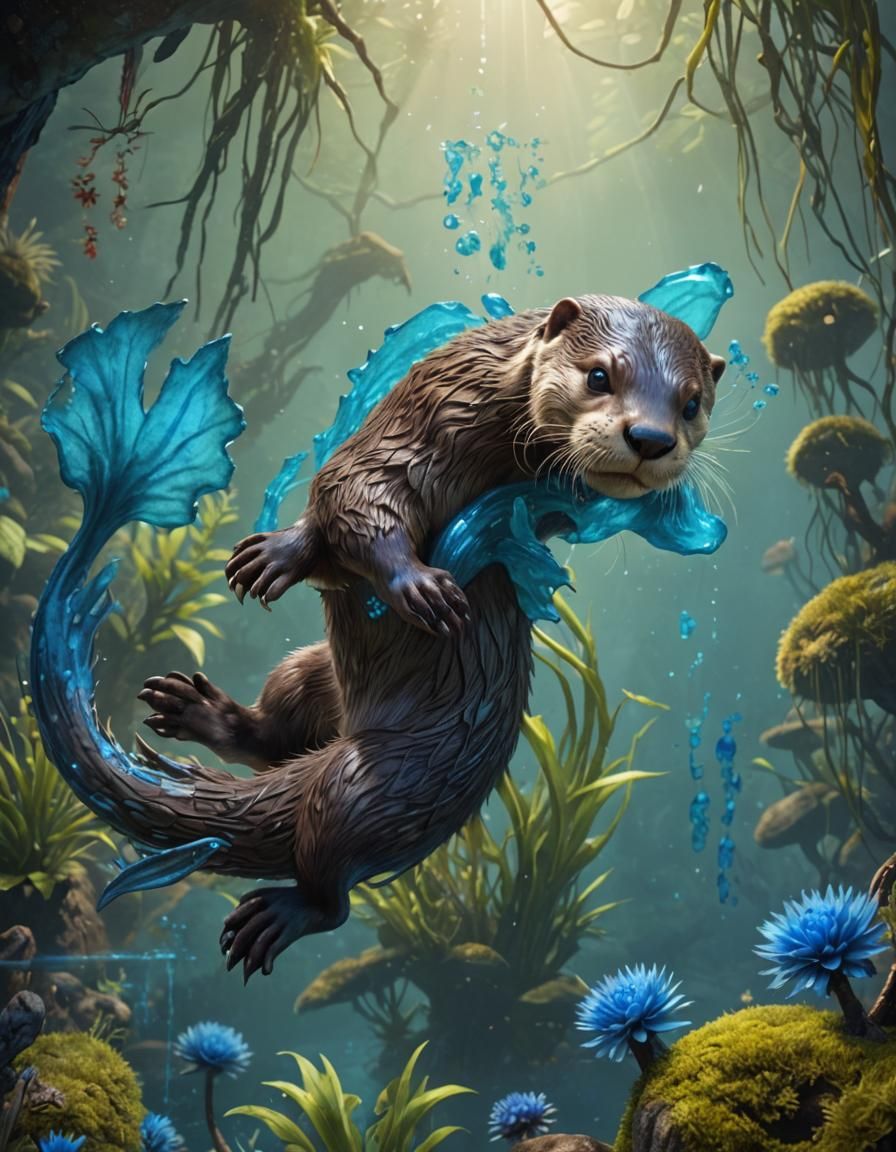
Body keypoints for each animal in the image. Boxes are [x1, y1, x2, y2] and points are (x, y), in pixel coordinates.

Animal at [136, 294, 725, 980]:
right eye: (600, 375)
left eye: (691, 403)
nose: (651, 439)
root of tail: (344, 738)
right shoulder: (407, 432)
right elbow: (348, 502)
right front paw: (386, 578)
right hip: (306, 672)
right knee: (271, 735)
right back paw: (194, 709)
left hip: (377, 782)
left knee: (331, 883)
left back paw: (278, 913)